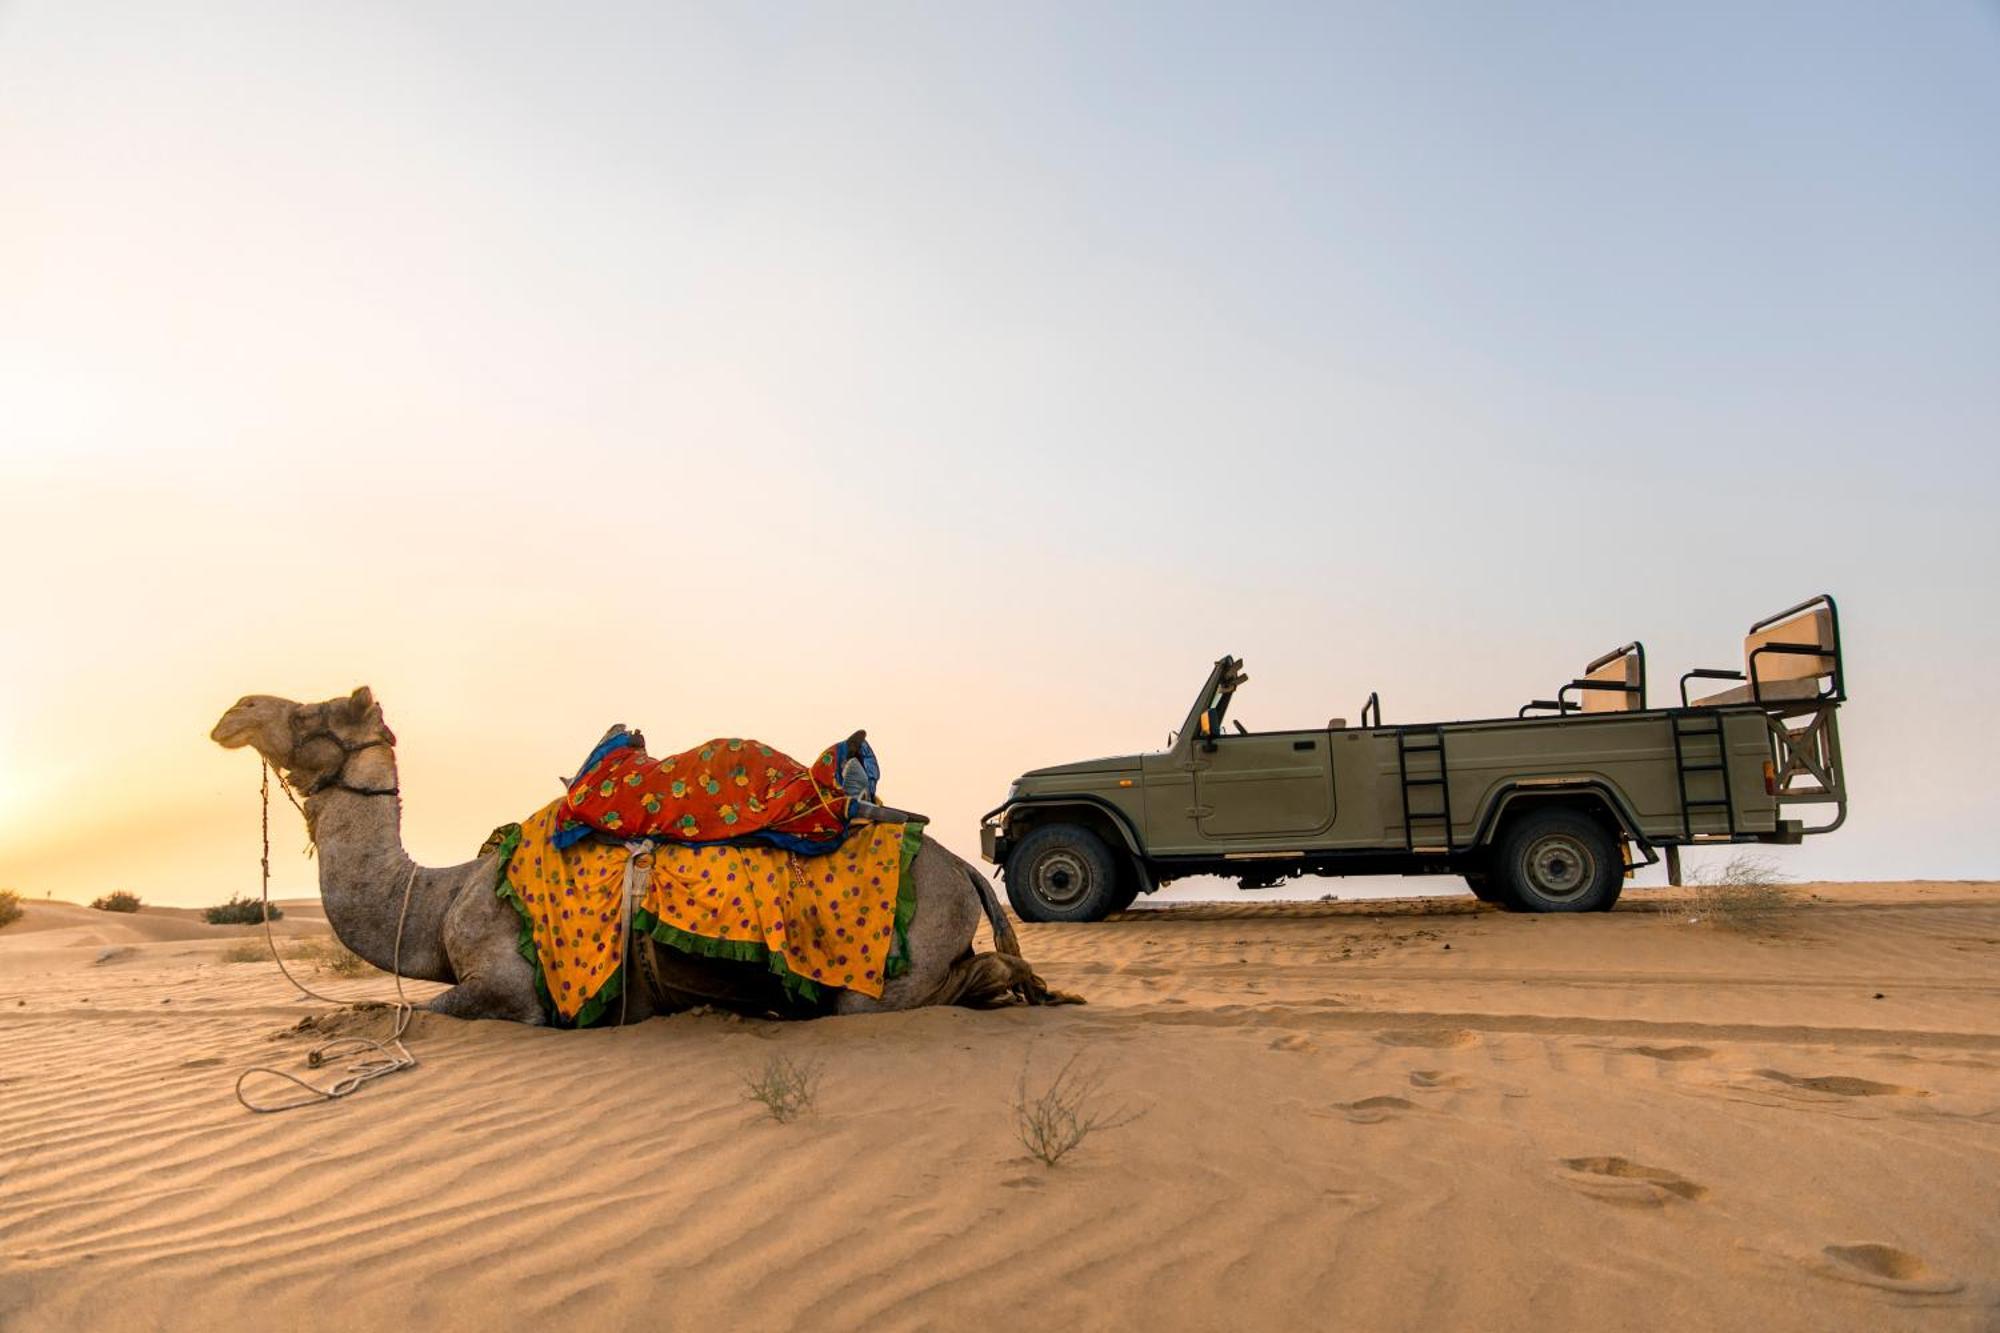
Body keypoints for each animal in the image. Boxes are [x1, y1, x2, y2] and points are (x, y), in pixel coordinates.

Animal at [211, 684, 1072, 1016]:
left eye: (318, 712)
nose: (236, 709)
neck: (435, 900)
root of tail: (967, 868)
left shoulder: (514, 985)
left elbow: (419, 1008)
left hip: (883, 974)